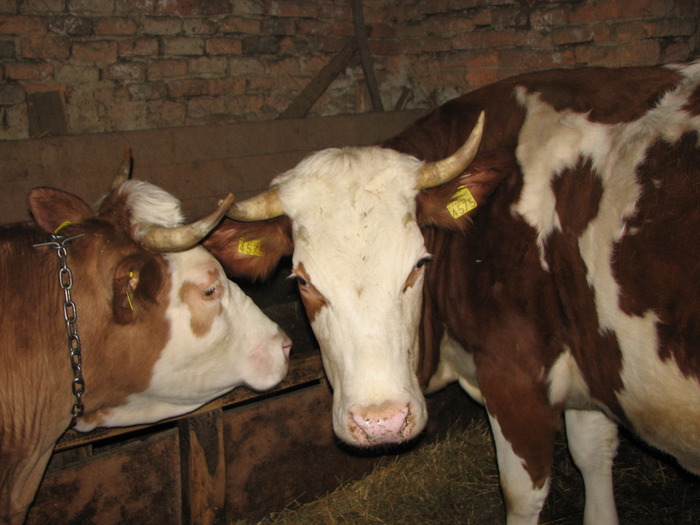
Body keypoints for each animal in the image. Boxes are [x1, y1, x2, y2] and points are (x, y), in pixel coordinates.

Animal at [204, 62, 700, 524]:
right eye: (304, 281)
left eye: (418, 265)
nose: (380, 422)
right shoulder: (588, 363)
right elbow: (593, 456)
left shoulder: (514, 381)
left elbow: (521, 494)